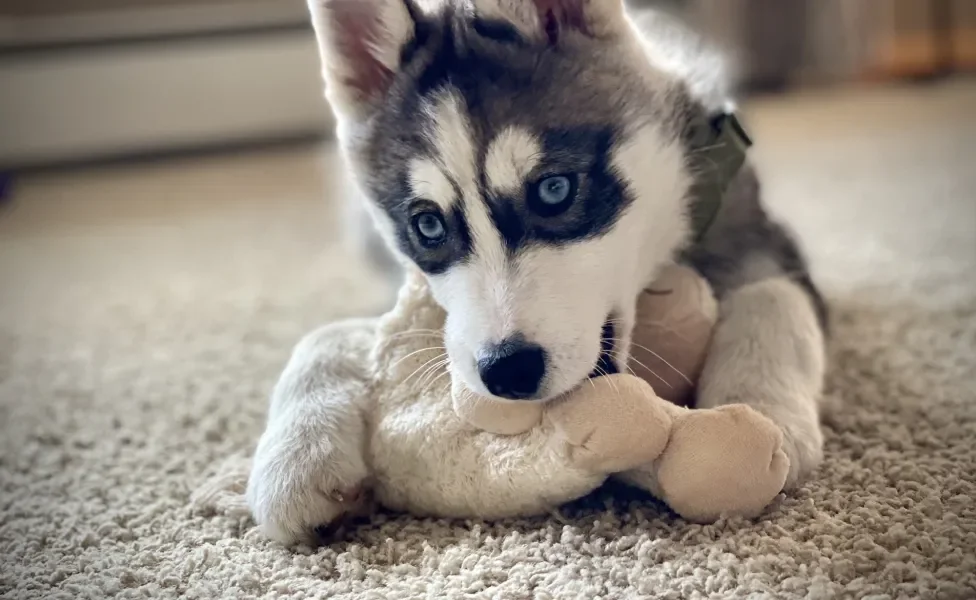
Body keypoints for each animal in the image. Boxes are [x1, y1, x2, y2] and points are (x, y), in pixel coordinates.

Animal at [248, 0, 828, 544]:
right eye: (428, 225)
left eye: (554, 190)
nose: (506, 371)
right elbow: (326, 335)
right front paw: (294, 460)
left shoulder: (757, 234)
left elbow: (772, 299)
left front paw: (761, 412)